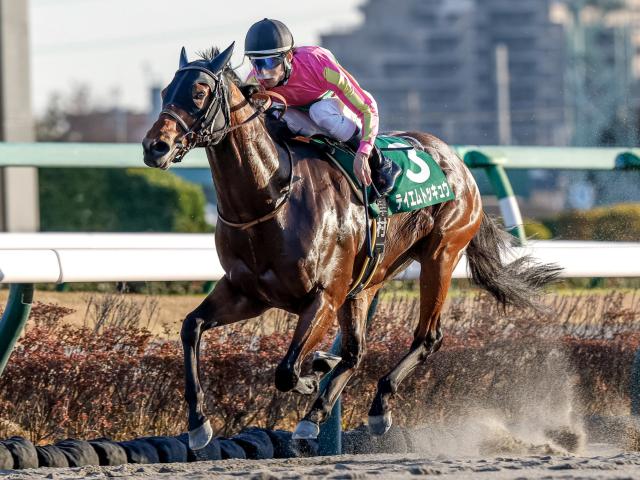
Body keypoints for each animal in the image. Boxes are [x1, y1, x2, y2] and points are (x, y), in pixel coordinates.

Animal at [141, 44, 560, 450]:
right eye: (165, 92)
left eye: (199, 92)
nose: (154, 146)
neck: (270, 196)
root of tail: (458, 163)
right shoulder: (248, 293)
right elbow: (192, 327)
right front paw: (199, 423)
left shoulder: (324, 296)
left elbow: (287, 370)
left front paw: (311, 376)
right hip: (368, 281)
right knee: (357, 351)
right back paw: (317, 409)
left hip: (441, 254)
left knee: (427, 337)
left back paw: (375, 407)